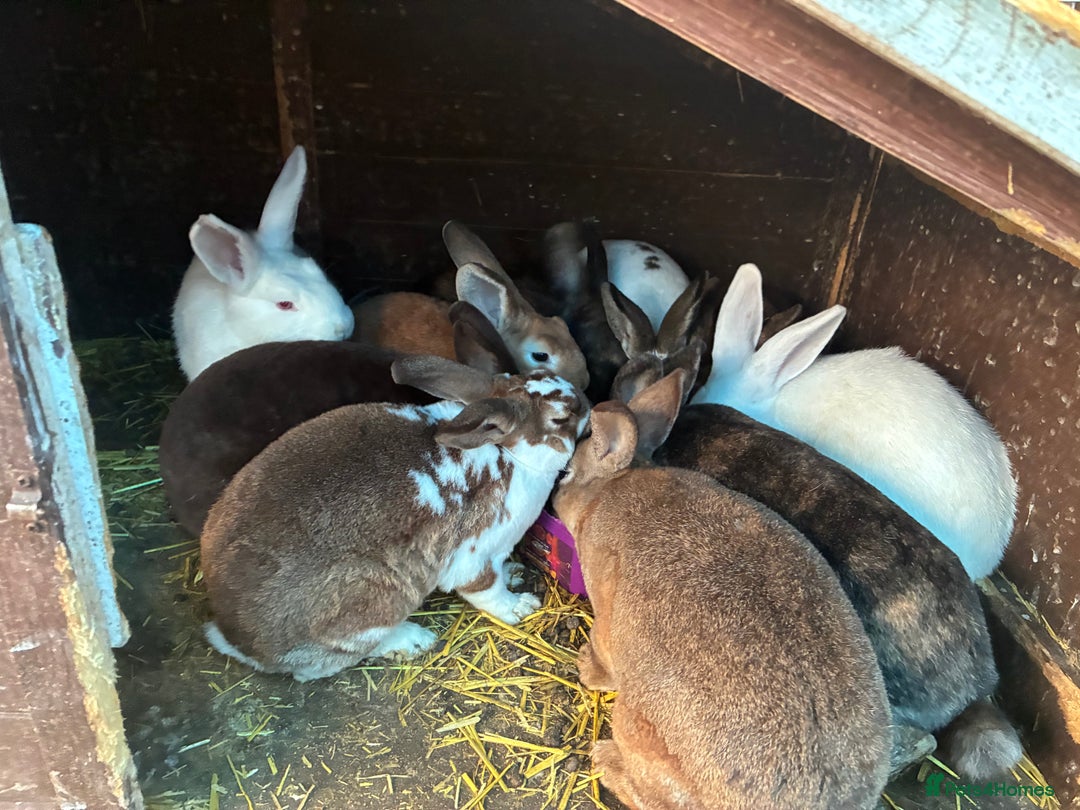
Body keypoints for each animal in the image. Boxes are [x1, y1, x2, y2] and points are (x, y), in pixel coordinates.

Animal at [200, 355, 589, 682]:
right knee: (326, 664)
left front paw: (515, 573)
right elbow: (487, 591)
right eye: (560, 418)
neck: (510, 453)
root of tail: (237, 639)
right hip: (376, 596)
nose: (586, 400)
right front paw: (519, 606)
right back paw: (413, 639)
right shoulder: (474, 555)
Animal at [551, 369, 891, 810]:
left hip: (634, 724)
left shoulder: (606, 611)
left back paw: (605, 760)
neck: (608, 489)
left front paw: (585, 668)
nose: (552, 497)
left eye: (565, 473)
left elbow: (602, 654)